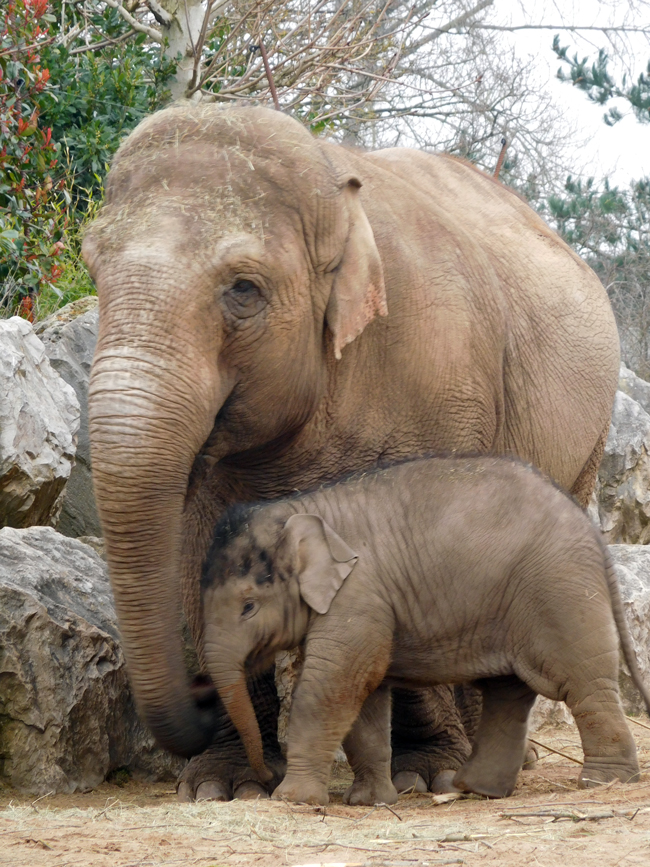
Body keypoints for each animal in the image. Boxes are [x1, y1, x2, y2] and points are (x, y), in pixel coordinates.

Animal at [200, 458, 644, 804]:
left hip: (561, 593)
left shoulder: (359, 595)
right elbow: (365, 697)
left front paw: (292, 799)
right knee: (508, 693)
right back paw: (477, 789)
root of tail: (593, 533)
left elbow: (332, 687)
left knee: (582, 684)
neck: (297, 507)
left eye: (248, 607)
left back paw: (603, 782)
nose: (265, 776)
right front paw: (370, 802)